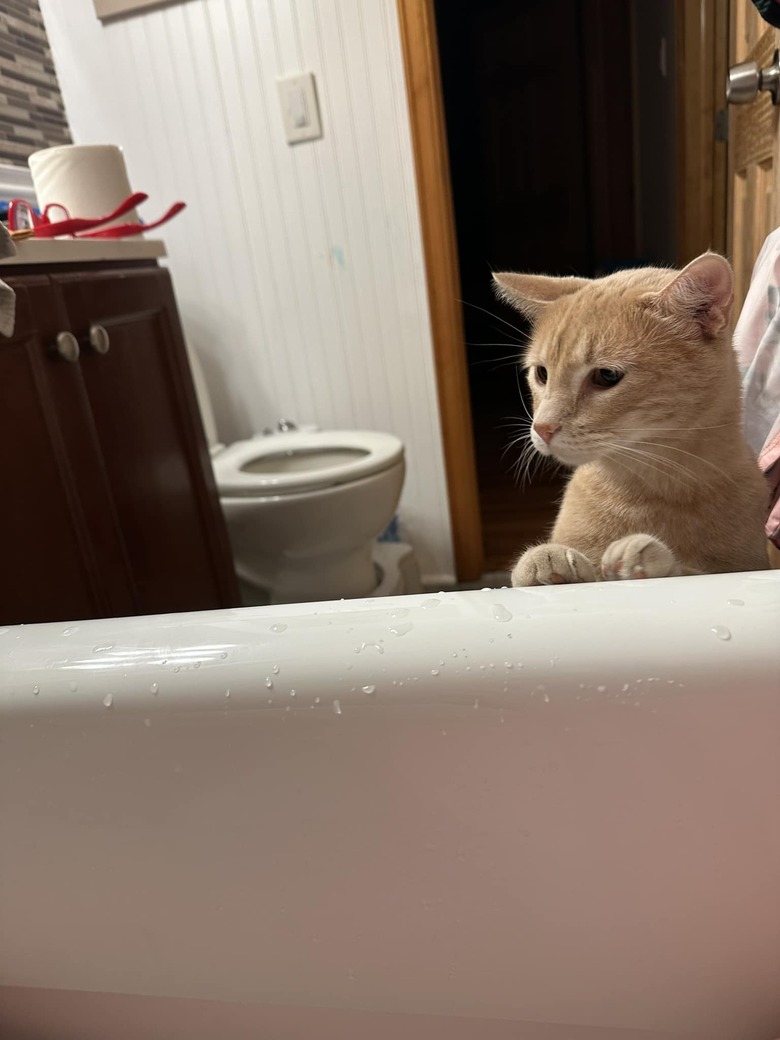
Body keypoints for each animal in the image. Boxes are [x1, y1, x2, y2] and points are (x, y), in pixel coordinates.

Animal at [495, 251, 769, 586]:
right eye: (542, 374)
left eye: (607, 376)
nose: (542, 427)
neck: (655, 484)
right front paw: (544, 560)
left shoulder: (746, 566)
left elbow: (692, 571)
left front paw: (644, 559)